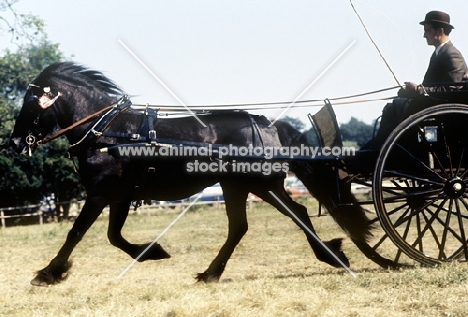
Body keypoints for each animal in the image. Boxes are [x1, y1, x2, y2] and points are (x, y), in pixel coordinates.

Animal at [11, 62, 394, 286]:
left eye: (30, 103)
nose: (14, 143)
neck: (107, 131)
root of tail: (267, 124)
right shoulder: (120, 195)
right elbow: (114, 237)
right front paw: (153, 252)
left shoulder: (100, 194)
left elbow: (76, 232)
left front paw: (48, 273)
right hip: (240, 185)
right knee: (251, 224)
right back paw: (213, 272)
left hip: (257, 184)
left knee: (290, 215)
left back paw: (336, 256)